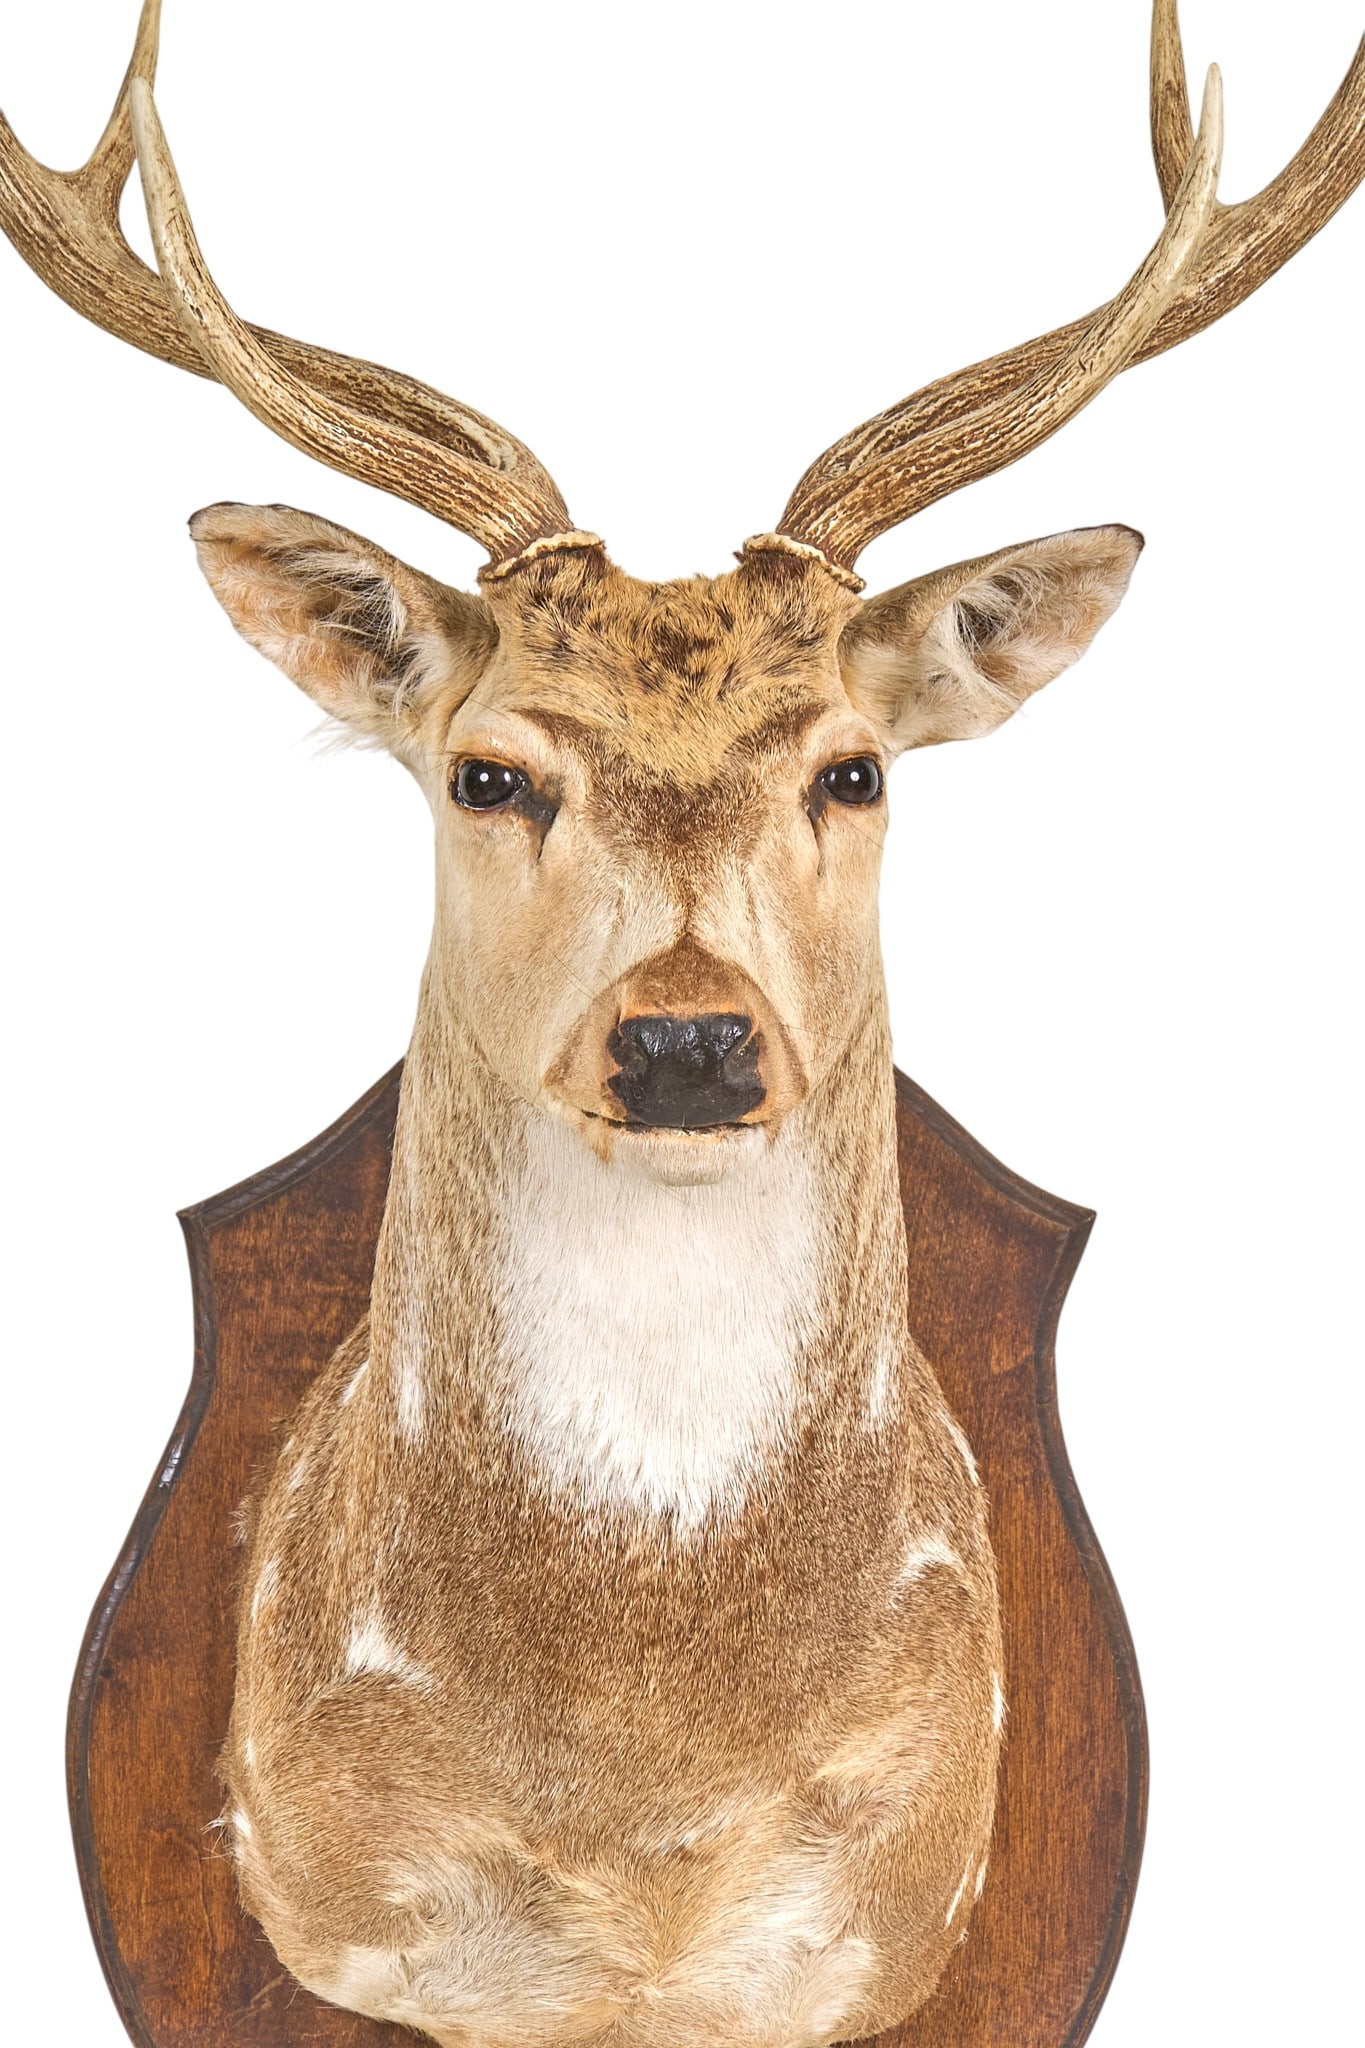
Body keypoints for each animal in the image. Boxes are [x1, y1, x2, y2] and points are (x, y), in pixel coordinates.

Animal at [3, 2, 1361, 2043]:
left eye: (854, 766)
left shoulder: (868, 1930)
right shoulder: (379, 1929)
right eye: (487, 770)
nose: (687, 1043)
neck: (643, 1801)